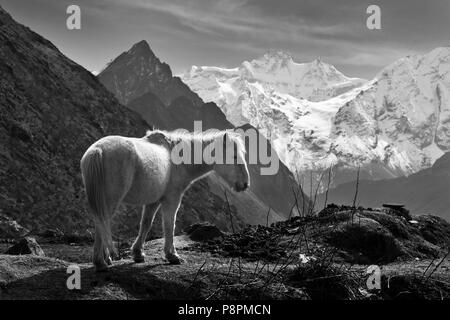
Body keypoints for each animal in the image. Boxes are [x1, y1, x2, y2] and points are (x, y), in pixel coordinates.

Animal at [81, 129, 250, 272]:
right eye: (234, 156)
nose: (245, 184)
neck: (177, 159)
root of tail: (97, 150)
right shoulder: (172, 199)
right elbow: (169, 225)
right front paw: (172, 255)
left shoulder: (153, 201)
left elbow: (146, 224)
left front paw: (138, 253)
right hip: (110, 201)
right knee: (102, 222)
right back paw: (101, 262)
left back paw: (105, 259)